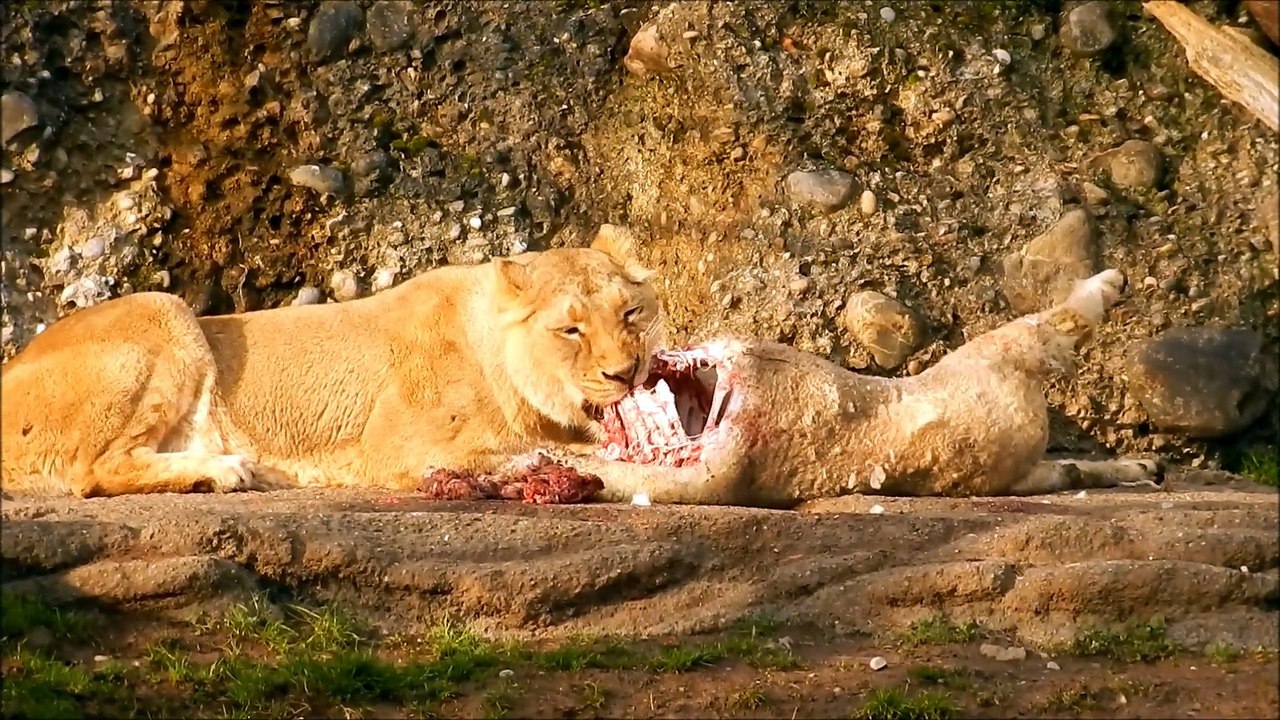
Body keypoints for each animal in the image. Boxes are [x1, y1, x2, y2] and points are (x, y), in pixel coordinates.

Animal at [0, 225, 666, 498]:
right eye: (570, 329)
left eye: (631, 313)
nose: (625, 373)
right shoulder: (401, 450)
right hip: (162, 309)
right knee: (94, 469)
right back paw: (224, 470)